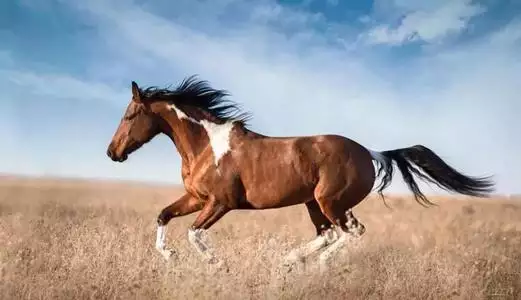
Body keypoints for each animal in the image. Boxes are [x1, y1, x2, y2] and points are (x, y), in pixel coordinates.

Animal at [104, 75, 492, 270]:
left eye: (129, 115)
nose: (112, 153)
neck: (206, 146)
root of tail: (370, 153)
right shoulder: (196, 198)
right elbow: (163, 215)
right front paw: (169, 256)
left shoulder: (220, 202)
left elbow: (194, 234)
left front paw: (217, 264)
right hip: (314, 204)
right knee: (330, 234)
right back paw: (292, 260)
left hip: (330, 201)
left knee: (350, 233)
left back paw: (312, 265)